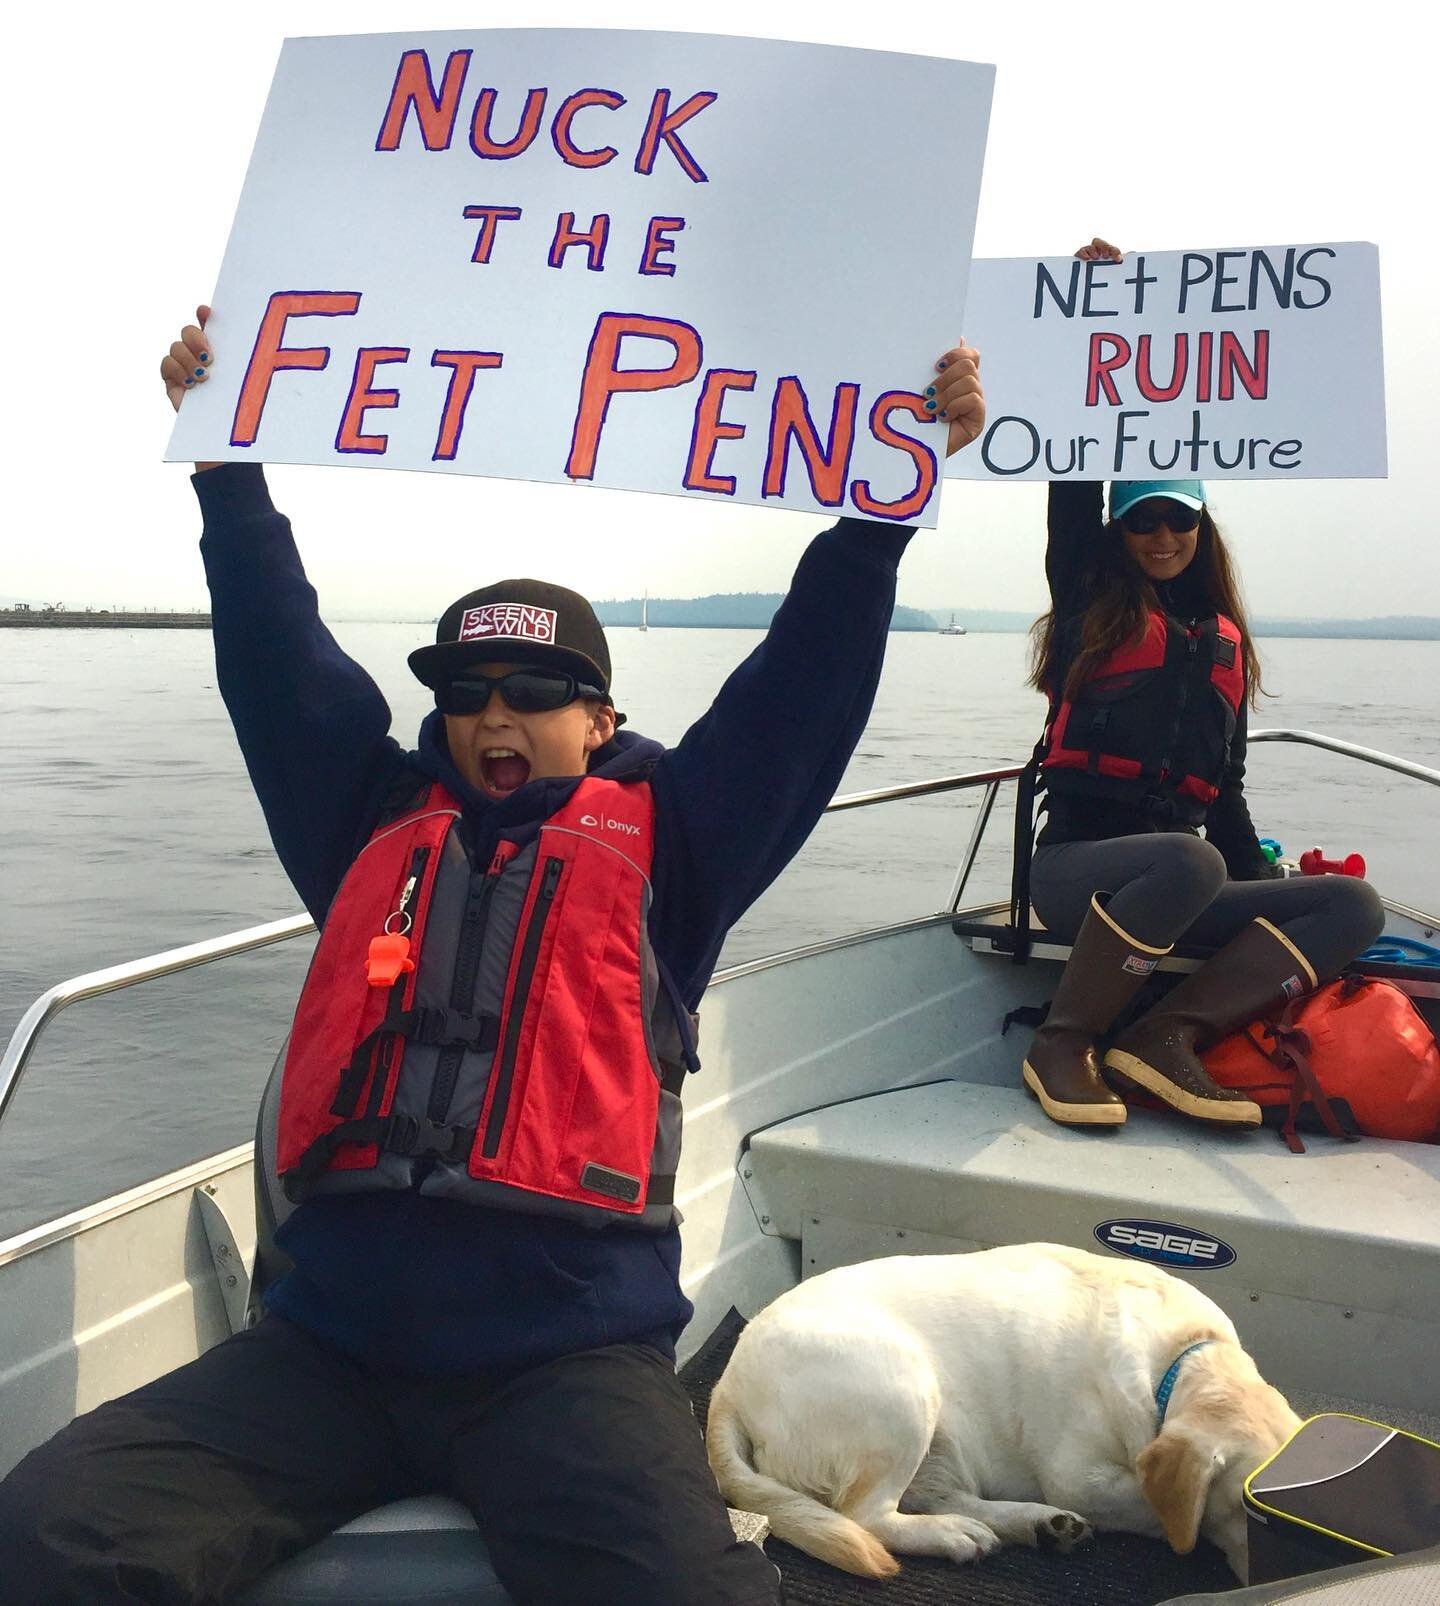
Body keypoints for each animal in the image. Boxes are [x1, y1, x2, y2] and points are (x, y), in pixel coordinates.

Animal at [703, 1239, 1297, 1580]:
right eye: (1252, 1513)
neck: (1182, 1356)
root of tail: (726, 1387)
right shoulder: (1078, 1478)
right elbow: (1170, 1514)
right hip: (900, 1386)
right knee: (864, 1516)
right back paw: (955, 1534)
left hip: (941, 1433)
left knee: (938, 1496)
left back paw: (1033, 1525)